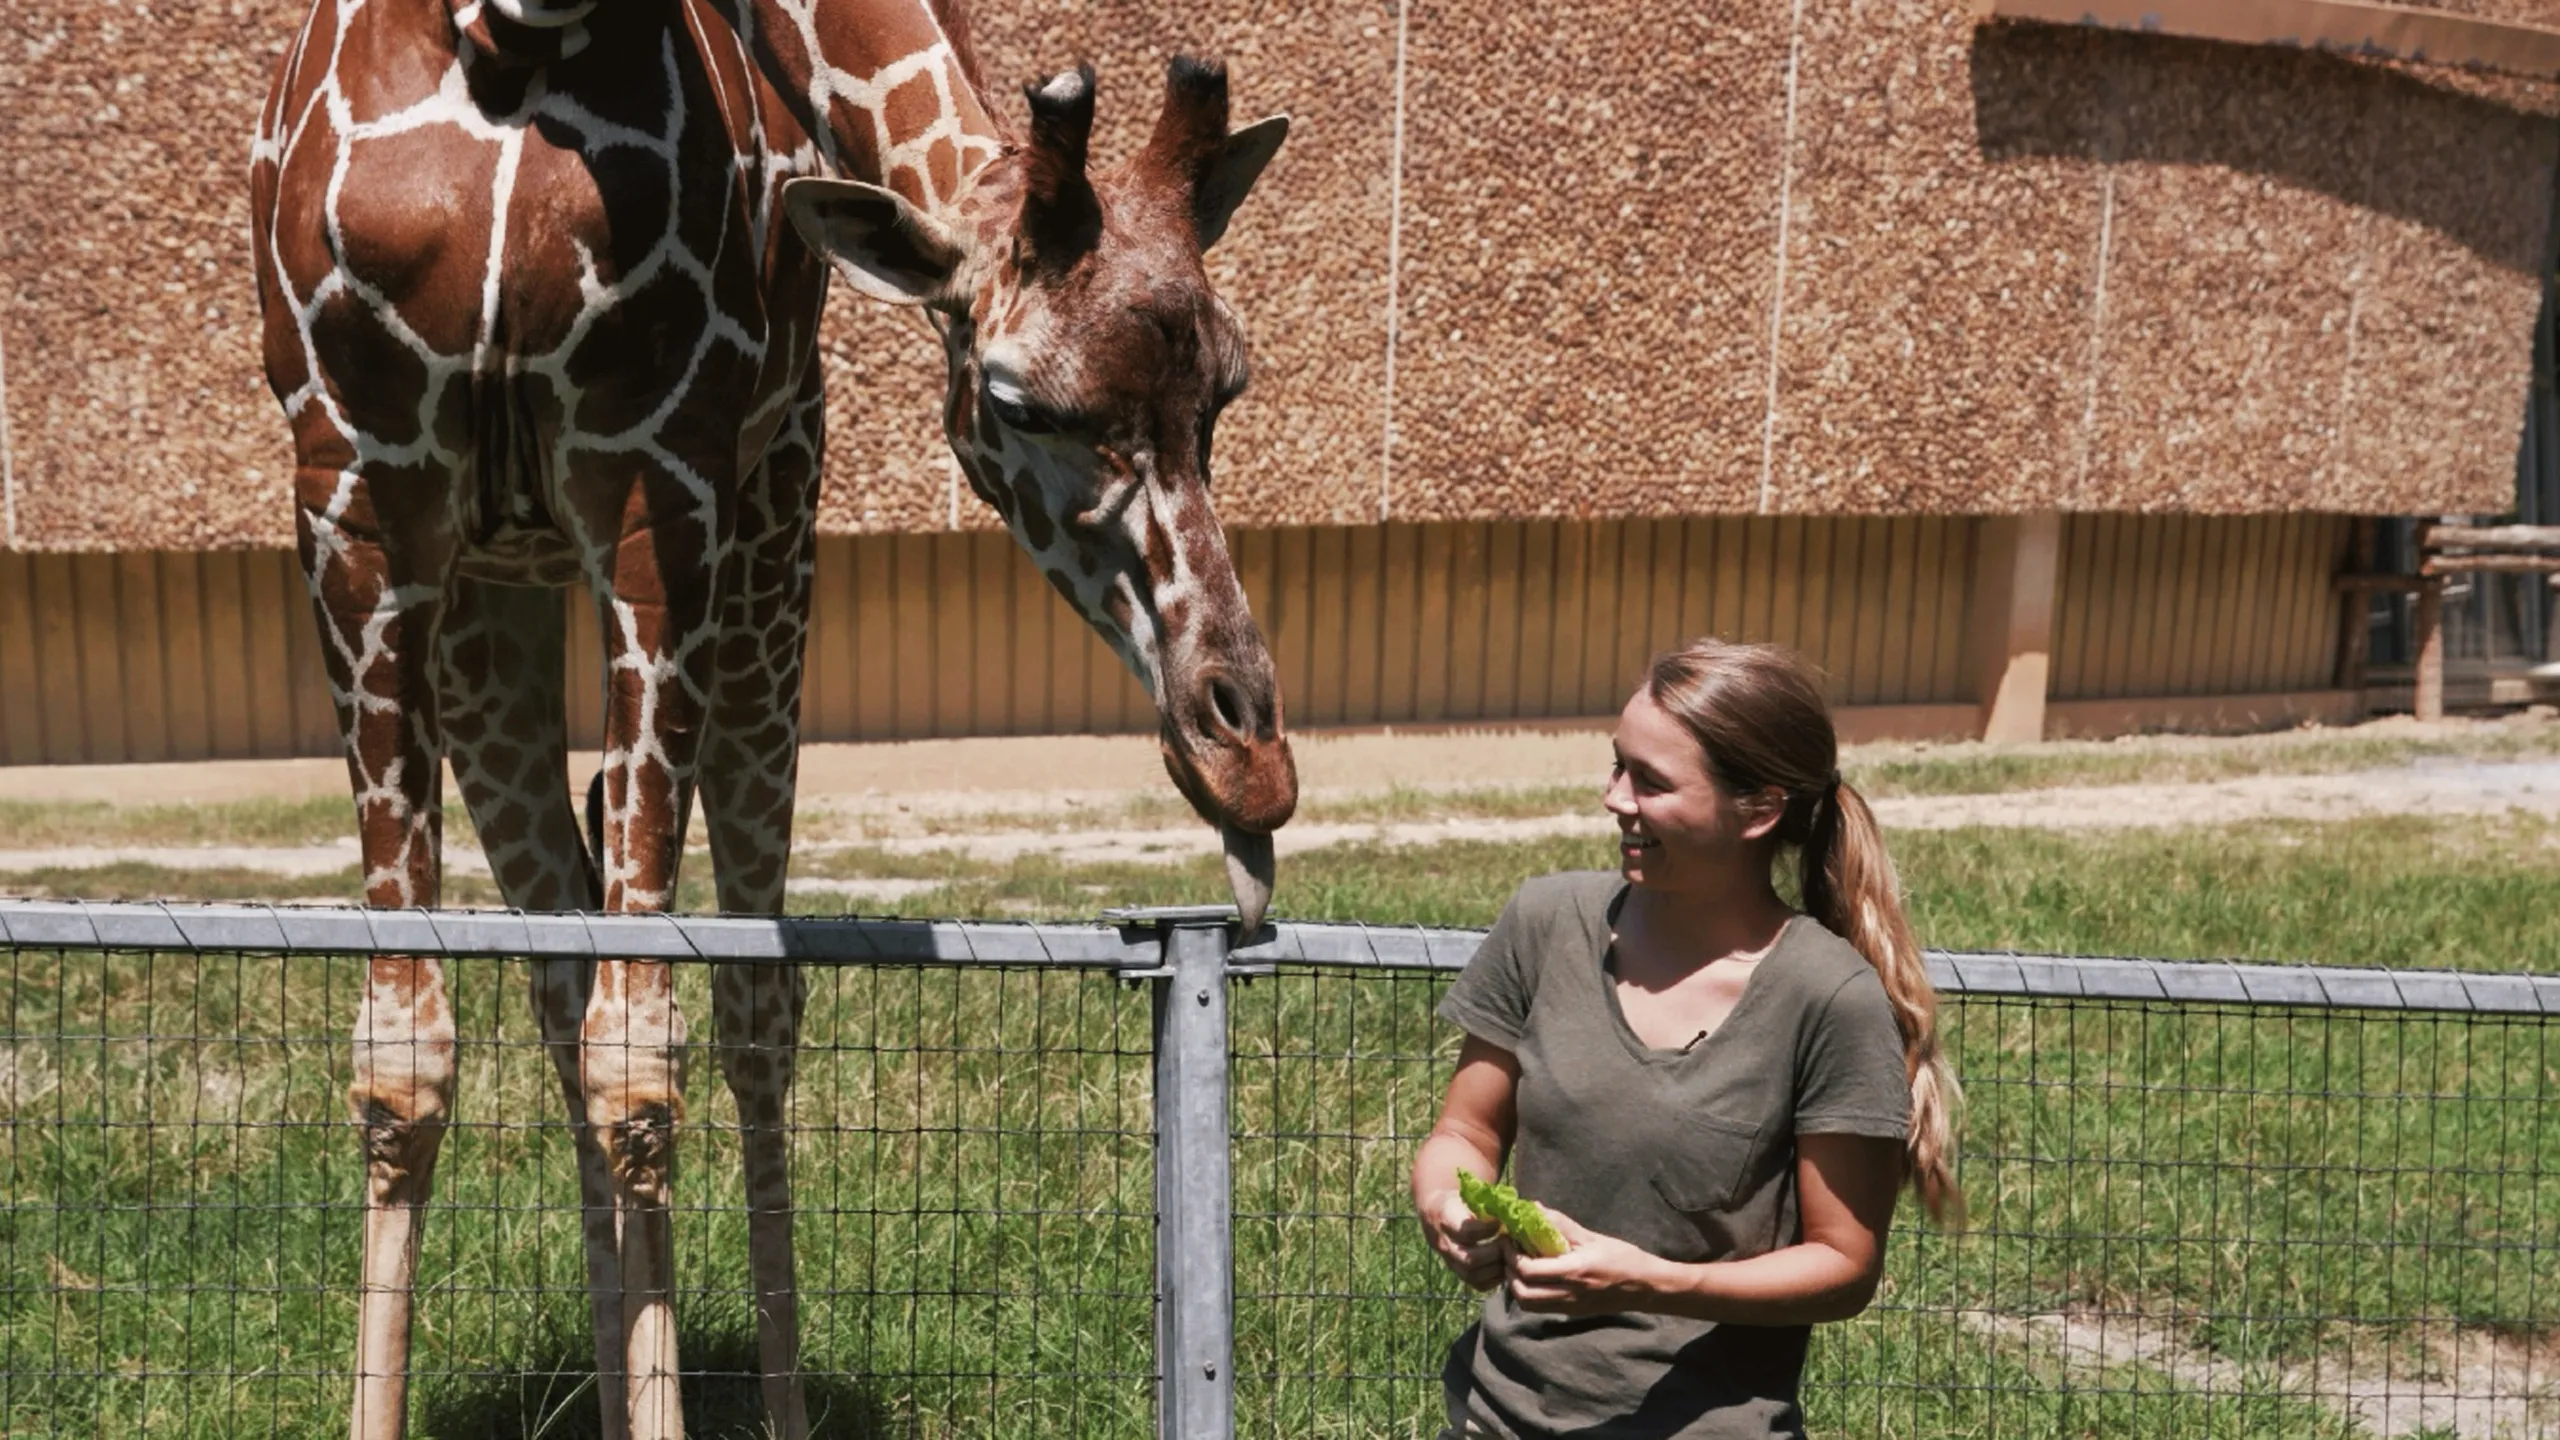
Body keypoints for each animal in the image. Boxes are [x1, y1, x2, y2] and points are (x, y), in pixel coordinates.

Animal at [249, 1, 1299, 1435]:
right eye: (1021, 402)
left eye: (1229, 389)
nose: (1249, 758)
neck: (517, 34)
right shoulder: (357, 492)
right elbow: (407, 1059)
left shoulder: (665, 487)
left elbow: (649, 1050)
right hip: (487, 600)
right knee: (564, 977)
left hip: (771, 531)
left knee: (751, 1009)